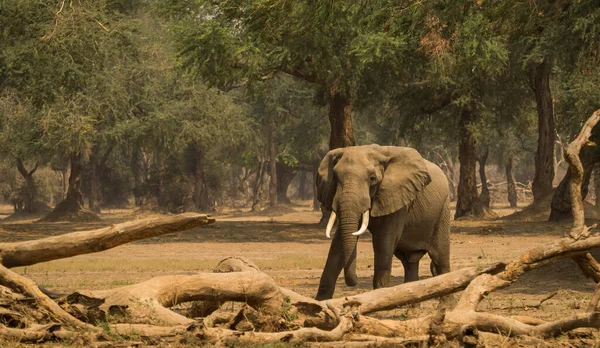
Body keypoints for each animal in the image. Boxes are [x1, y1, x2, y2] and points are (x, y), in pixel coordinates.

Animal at [314, 143, 450, 300]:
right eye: (335, 177)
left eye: (372, 178)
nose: (355, 280)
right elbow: (337, 246)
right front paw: (319, 303)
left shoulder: (397, 196)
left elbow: (383, 242)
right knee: (409, 263)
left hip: (443, 211)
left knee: (441, 260)